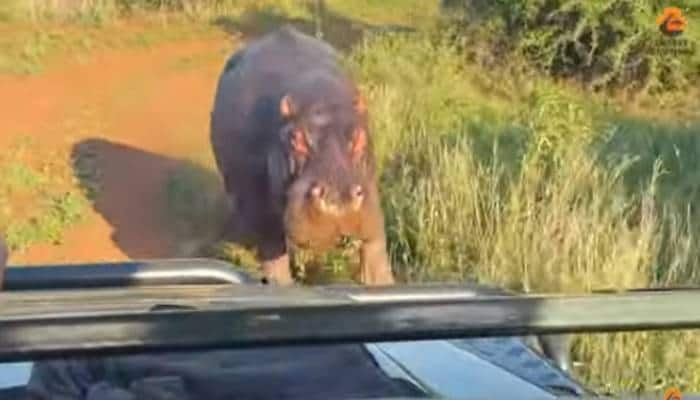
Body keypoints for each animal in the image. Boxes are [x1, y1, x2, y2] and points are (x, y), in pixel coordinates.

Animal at [209, 25, 394, 286]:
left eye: (359, 137)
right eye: (295, 139)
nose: (338, 202)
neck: (321, 104)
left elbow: (376, 258)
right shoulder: (261, 212)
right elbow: (274, 259)